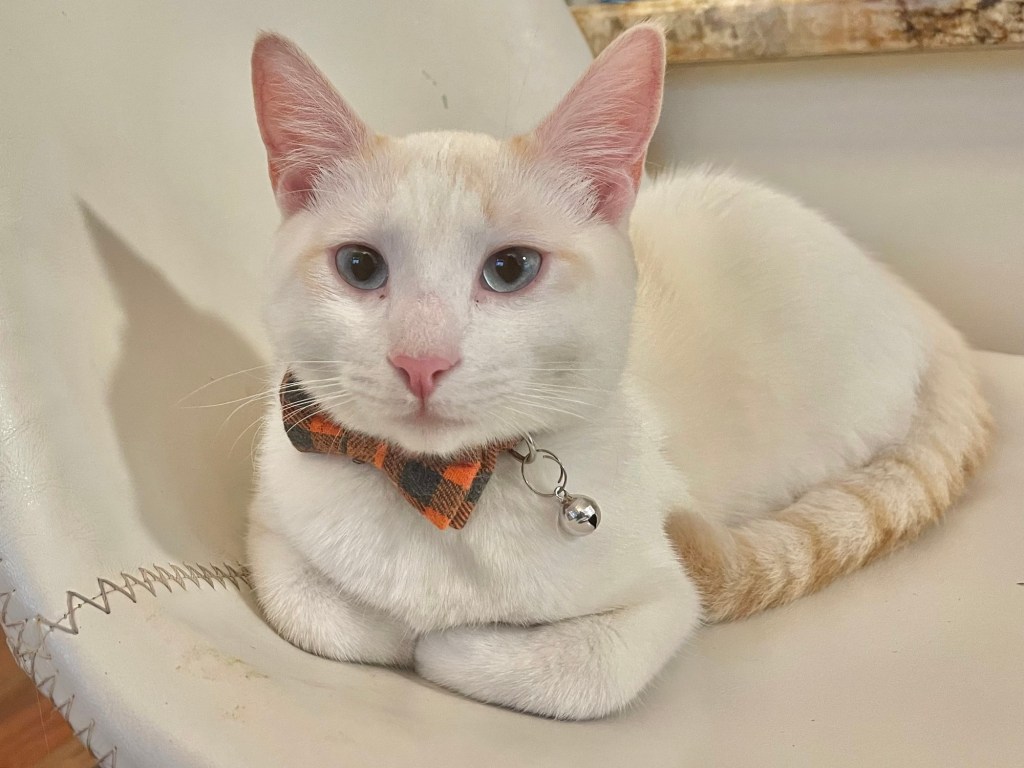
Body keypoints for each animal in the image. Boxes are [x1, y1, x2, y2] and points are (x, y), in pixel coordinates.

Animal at [245, 25, 990, 720]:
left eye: (511, 269)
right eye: (360, 266)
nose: (421, 360)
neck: (438, 491)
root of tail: (904, 293)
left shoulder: (662, 598)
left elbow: (580, 672)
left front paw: (449, 644)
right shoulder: (272, 523)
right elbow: (309, 607)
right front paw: (389, 627)